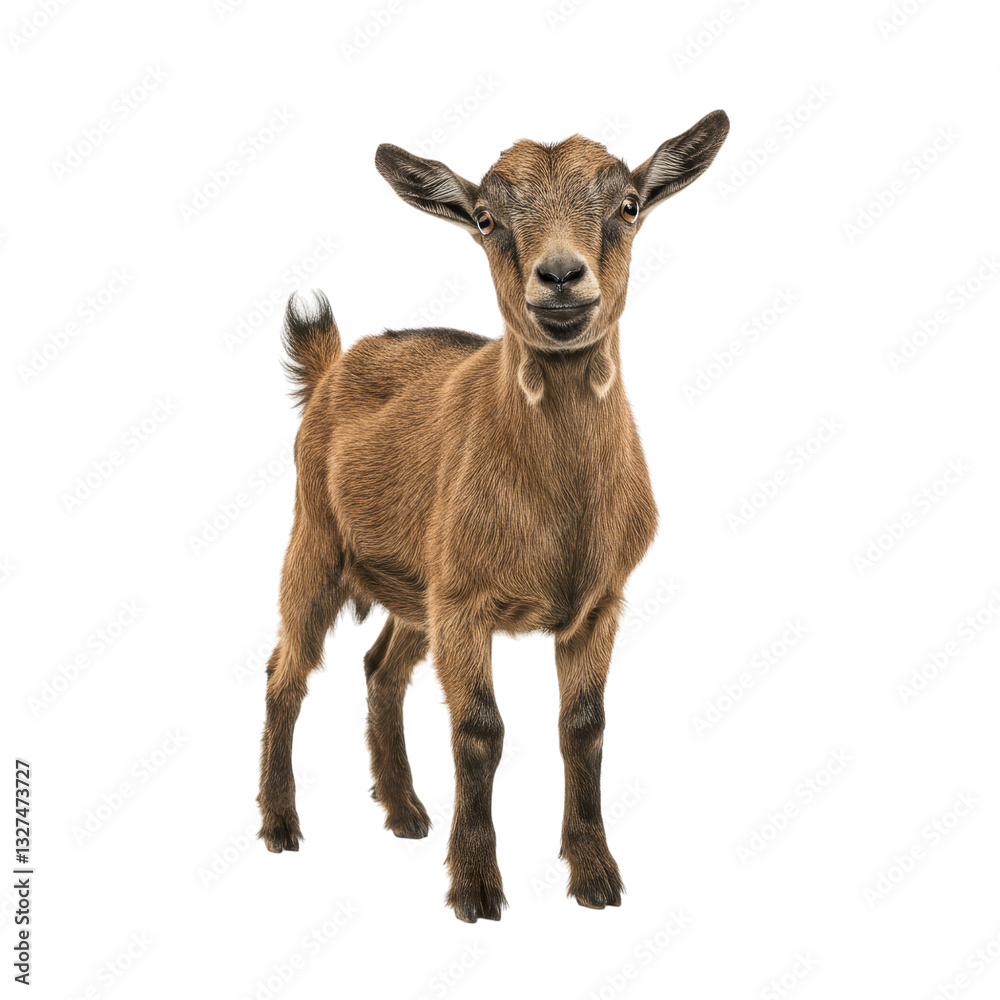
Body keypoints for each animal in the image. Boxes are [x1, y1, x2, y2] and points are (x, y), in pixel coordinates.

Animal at [257, 111, 730, 922]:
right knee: (286, 670)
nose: (562, 276)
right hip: (314, 542)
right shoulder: (466, 602)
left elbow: (584, 728)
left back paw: (405, 811)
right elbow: (479, 730)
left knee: (381, 669)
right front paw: (476, 886)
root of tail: (331, 365)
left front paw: (595, 875)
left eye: (628, 205)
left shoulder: (598, 604)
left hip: (417, 588)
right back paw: (281, 824)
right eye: (485, 219)